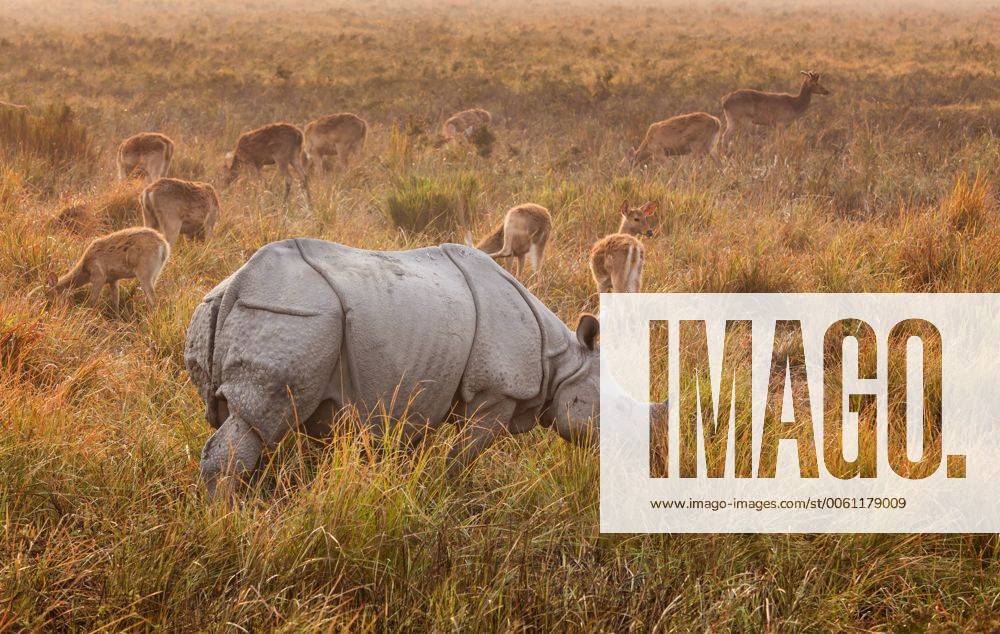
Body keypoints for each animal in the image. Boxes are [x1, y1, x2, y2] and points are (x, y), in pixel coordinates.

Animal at [185, 238, 601, 496]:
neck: (562, 359)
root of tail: (237, 283)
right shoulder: (497, 393)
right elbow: (464, 456)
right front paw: (449, 493)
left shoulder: (420, 393)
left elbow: (407, 448)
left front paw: (405, 487)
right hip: (293, 314)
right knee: (260, 420)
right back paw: (230, 520)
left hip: (237, 311)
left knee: (249, 422)